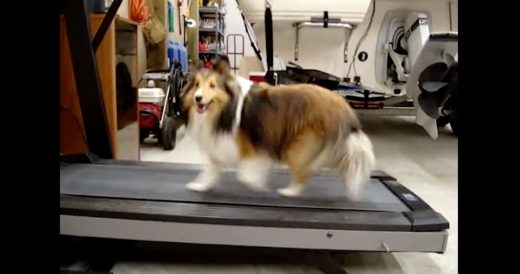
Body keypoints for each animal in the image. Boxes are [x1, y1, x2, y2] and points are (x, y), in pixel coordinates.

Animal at [179, 57, 374, 199]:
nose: (198, 98)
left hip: (297, 147)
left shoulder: (252, 145)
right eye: (196, 85)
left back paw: (289, 192)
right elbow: (211, 169)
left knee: (305, 173)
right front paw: (200, 186)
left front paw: (254, 183)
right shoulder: (219, 144)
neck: (225, 109)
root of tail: (341, 105)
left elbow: (245, 173)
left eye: (212, 85)